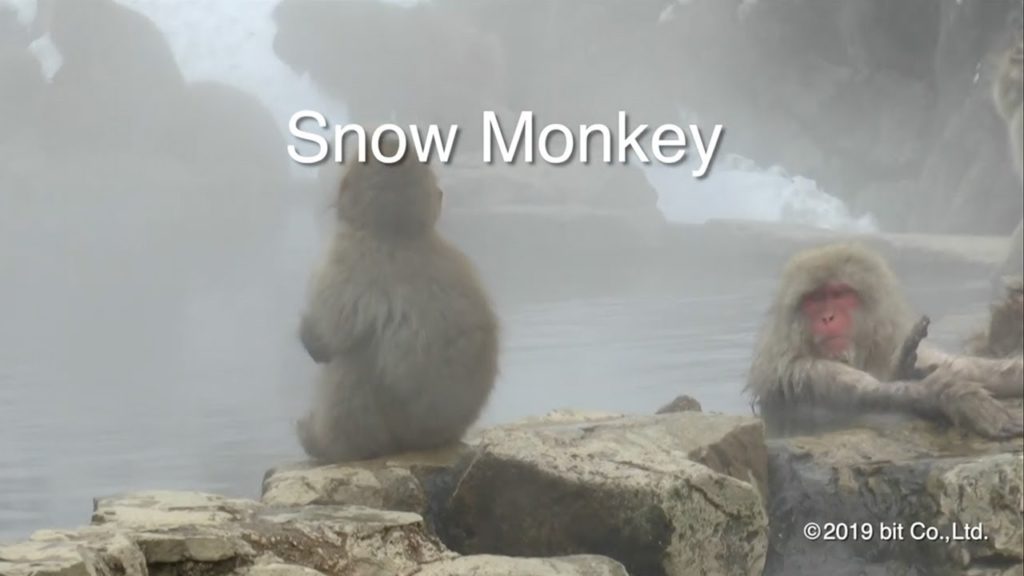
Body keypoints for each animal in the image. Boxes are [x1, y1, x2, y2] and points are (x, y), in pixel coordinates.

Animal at [295, 134, 500, 463]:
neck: (398, 234)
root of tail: (422, 441)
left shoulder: (339, 262)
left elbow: (329, 342)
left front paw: (311, 337)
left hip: (381, 428)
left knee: (352, 363)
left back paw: (325, 444)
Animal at [746, 242, 1023, 440]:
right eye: (814, 299)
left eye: (839, 294)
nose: (827, 317)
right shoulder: (804, 370)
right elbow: (871, 395)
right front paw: (953, 396)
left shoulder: (892, 346)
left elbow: (968, 367)